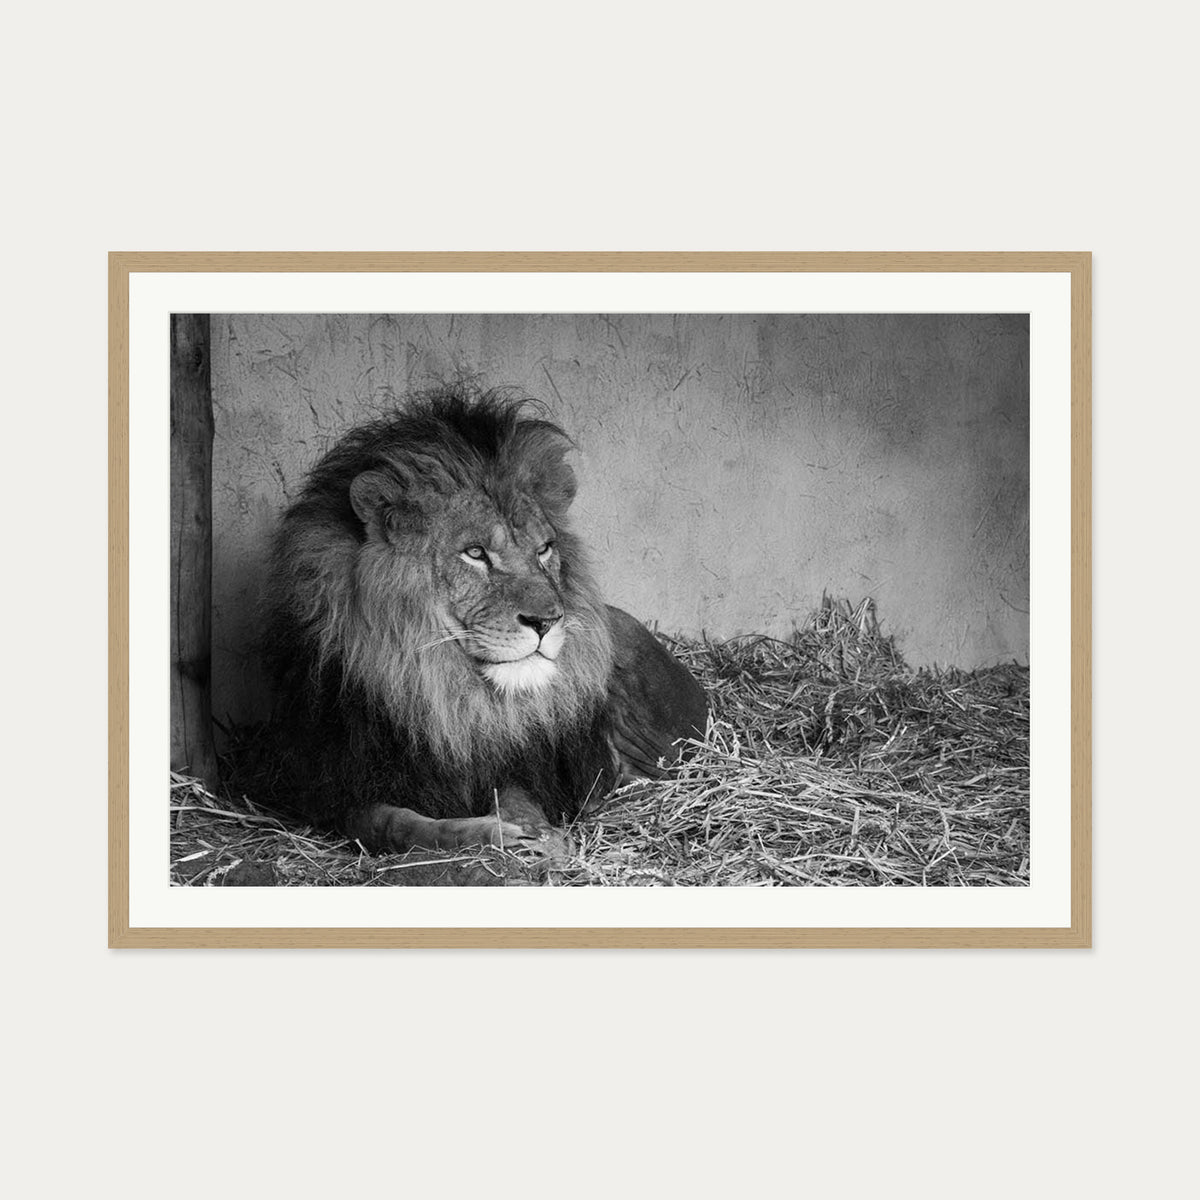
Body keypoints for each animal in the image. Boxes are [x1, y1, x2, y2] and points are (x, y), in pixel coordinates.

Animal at [262, 385, 708, 856]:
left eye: (544, 549)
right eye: (475, 553)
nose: (547, 621)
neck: (443, 694)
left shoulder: (518, 764)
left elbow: (517, 797)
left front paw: (540, 836)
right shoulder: (335, 788)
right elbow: (396, 825)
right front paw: (489, 833)